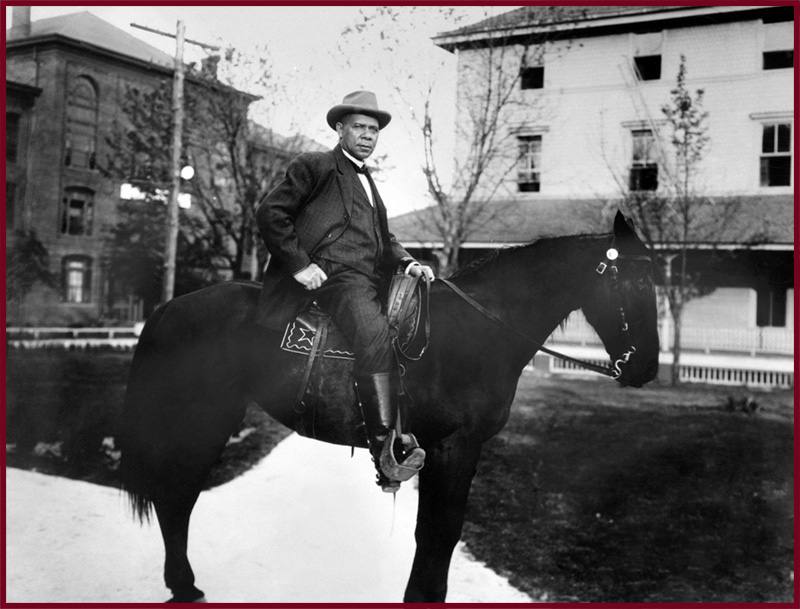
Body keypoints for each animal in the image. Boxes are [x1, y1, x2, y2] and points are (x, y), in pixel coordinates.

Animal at [119, 211, 656, 600]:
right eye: (637, 283)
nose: (647, 369)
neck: (479, 331)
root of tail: (168, 308)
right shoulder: (454, 448)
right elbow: (439, 532)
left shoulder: (451, 451)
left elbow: (435, 532)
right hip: (199, 423)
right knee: (177, 497)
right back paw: (184, 587)